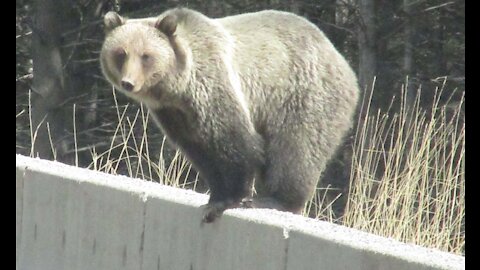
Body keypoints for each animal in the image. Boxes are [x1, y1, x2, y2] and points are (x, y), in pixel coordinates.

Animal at [99, 8, 358, 223]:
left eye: (145, 55)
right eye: (121, 53)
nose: (128, 82)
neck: (177, 89)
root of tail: (344, 64)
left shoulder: (214, 85)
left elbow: (236, 143)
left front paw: (228, 201)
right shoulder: (176, 115)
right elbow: (201, 151)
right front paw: (215, 195)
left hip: (304, 93)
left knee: (296, 148)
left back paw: (275, 200)